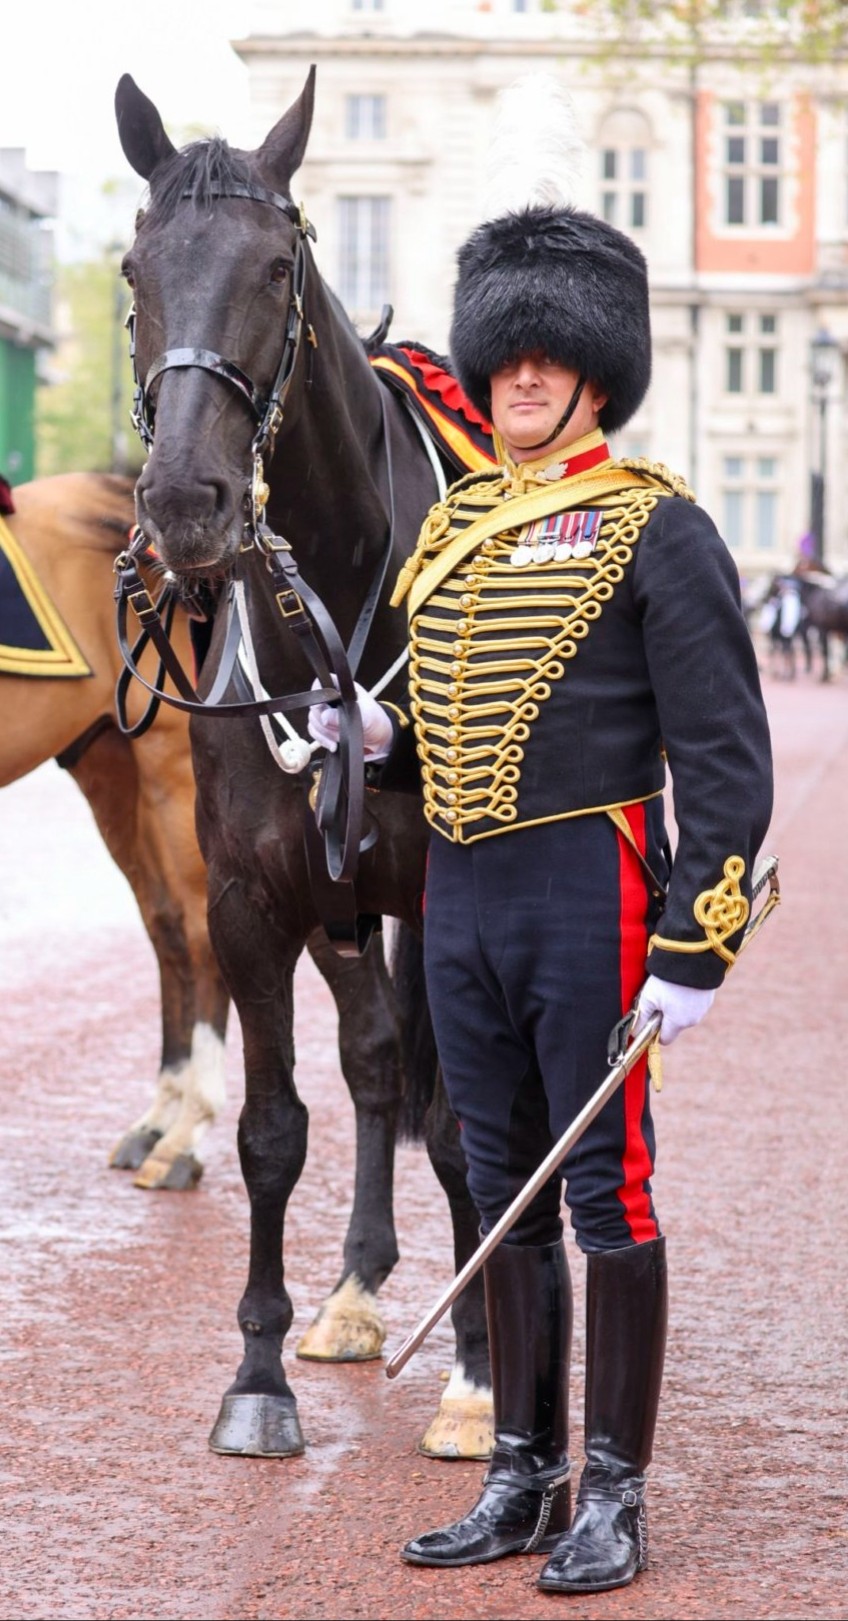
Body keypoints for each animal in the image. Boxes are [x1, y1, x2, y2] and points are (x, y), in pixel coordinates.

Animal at [114, 66, 493, 1461]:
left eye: (276, 266)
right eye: (135, 269)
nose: (186, 503)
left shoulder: (441, 894)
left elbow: (463, 1126)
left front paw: (479, 1374)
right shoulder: (254, 897)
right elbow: (278, 1128)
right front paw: (260, 1370)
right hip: (337, 903)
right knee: (374, 1060)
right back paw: (354, 1285)